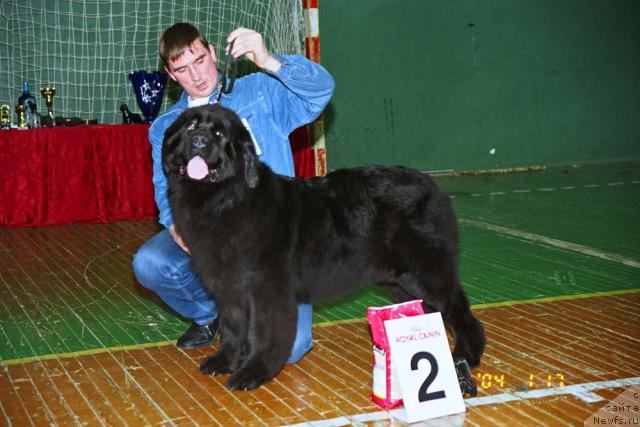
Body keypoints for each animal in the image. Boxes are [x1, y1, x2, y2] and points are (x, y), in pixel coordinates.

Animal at [161, 104, 484, 394]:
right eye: (190, 127)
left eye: (219, 133)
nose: (199, 140)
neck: (224, 199)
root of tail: (434, 187)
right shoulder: (229, 288)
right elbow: (232, 328)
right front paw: (224, 361)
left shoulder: (267, 290)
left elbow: (263, 334)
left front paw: (252, 373)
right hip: (396, 279)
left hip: (425, 270)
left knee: (458, 310)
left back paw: (464, 356)